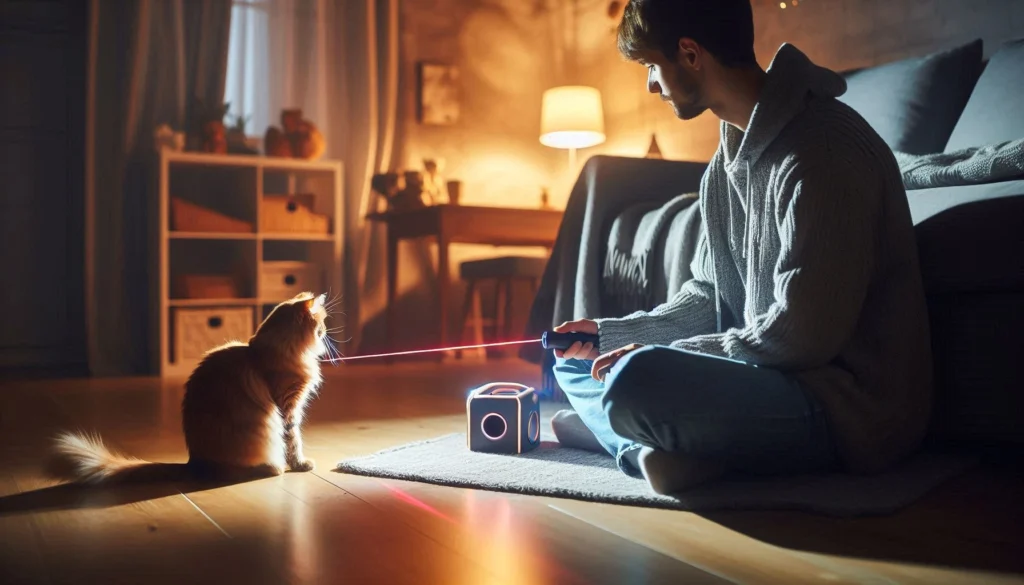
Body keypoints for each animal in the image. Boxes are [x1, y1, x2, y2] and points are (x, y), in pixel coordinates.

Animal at [48, 293, 331, 485]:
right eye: (322, 324)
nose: (327, 331)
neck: (268, 352)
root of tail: (193, 462)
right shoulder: (288, 405)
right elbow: (293, 439)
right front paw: (300, 464)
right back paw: (273, 468)